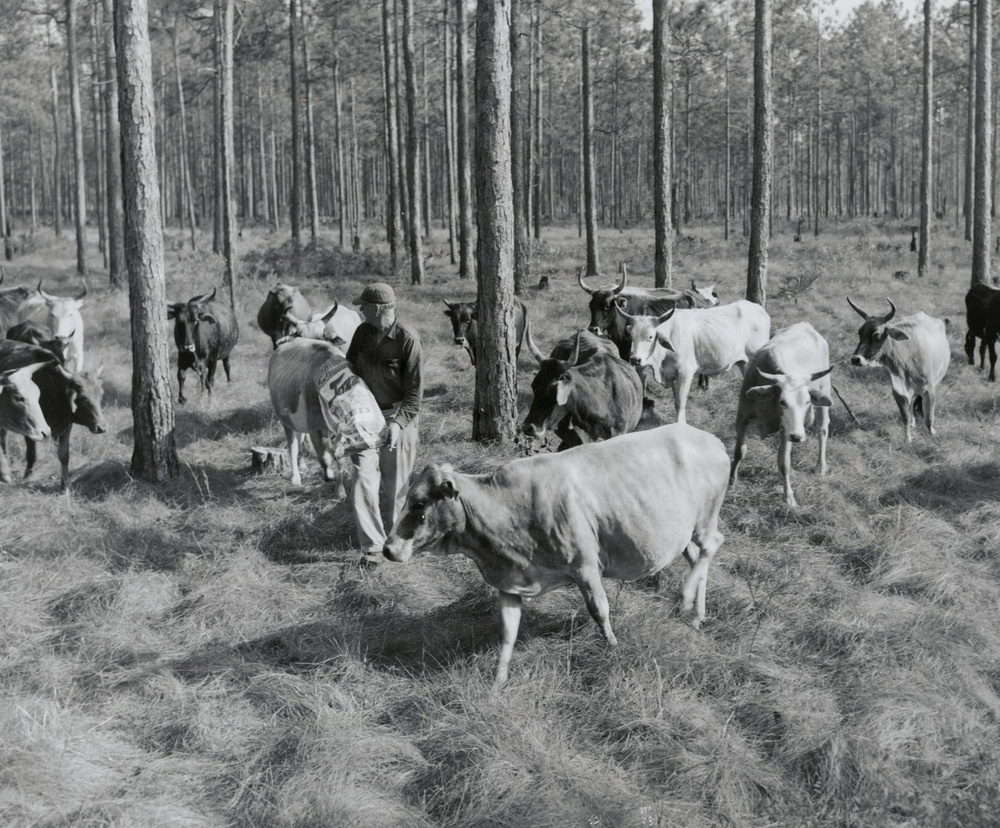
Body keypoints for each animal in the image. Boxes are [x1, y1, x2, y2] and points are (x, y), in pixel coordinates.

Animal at [383, 423, 729, 686]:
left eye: (418, 503)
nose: (388, 548)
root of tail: (709, 438)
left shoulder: (585, 565)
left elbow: (599, 610)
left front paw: (614, 648)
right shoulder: (509, 583)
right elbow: (508, 633)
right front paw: (498, 681)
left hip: (705, 517)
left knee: (713, 544)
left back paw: (686, 598)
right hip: (684, 531)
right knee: (696, 556)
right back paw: (696, 614)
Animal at [617, 299, 771, 425]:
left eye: (650, 336)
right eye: (632, 336)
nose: (635, 359)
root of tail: (759, 309)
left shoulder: (685, 373)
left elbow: (680, 402)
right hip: (744, 364)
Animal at [730, 322, 833, 508]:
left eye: (807, 402)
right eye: (783, 402)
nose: (798, 436)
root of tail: (807, 326)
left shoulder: (786, 431)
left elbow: (784, 463)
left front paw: (789, 497)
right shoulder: (742, 418)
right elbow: (739, 451)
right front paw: (732, 482)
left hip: (825, 389)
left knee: (822, 429)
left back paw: (821, 467)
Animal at [847, 297, 950, 442]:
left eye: (876, 334)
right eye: (860, 332)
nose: (856, 359)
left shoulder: (929, 389)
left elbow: (929, 417)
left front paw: (932, 434)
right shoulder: (897, 390)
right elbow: (905, 417)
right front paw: (908, 439)